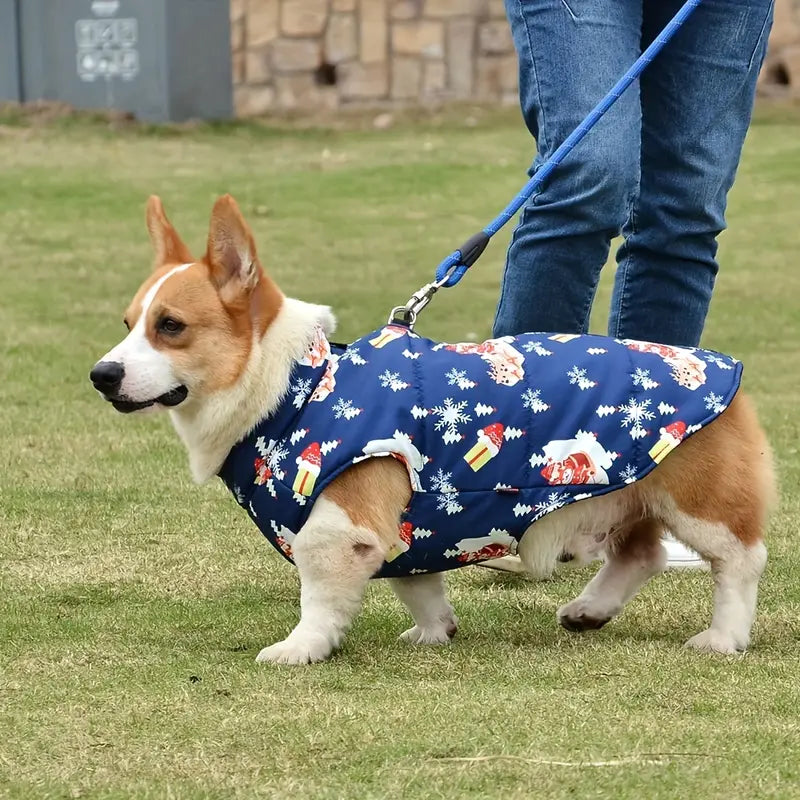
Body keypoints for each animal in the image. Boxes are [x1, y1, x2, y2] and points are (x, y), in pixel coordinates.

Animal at [89, 194, 776, 664]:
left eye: (171, 326)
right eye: (127, 322)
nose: (101, 375)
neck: (293, 387)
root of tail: (728, 372)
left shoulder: (341, 526)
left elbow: (319, 597)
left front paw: (300, 648)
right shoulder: (407, 523)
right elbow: (416, 581)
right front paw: (433, 630)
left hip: (698, 500)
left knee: (739, 561)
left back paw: (724, 636)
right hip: (627, 492)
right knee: (641, 553)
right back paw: (590, 609)